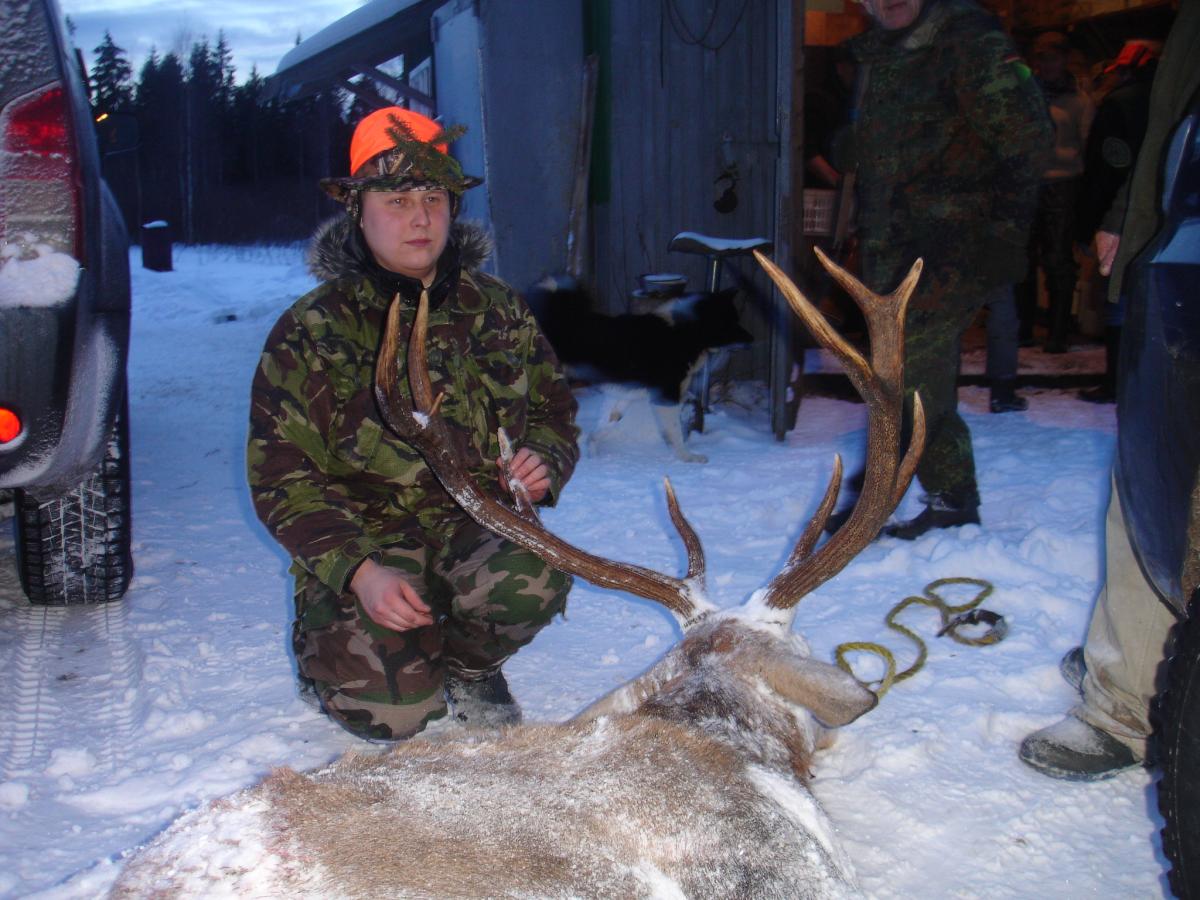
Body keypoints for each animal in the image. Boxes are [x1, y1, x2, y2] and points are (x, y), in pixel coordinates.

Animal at [526, 274, 753, 462]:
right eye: (731, 321)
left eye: (736, 318)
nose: (752, 339)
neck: (684, 332)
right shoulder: (666, 398)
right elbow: (675, 433)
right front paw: (687, 457)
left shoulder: (626, 396)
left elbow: (608, 424)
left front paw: (593, 451)